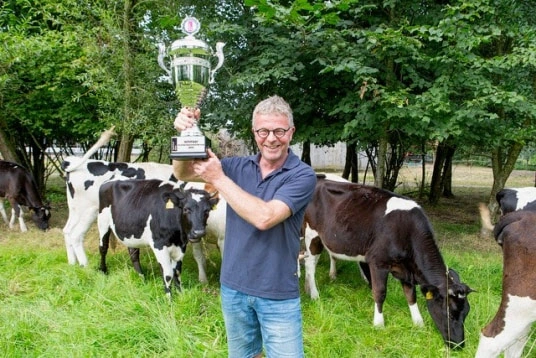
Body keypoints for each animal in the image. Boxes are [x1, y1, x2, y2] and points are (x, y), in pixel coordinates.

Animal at [62, 127, 226, 284]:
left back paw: (73, 264)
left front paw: (203, 280)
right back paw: (86, 266)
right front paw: (205, 281)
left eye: (207, 211)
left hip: (77, 211)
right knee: (77, 235)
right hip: (89, 210)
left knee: (68, 231)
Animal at [302, 175, 474, 348]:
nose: (459, 345)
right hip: (312, 235)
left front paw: (418, 322)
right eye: (450, 313)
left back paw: (308, 288)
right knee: (310, 265)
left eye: (466, 313)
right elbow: (380, 293)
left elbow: (411, 295)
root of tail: (320, 177)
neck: (407, 231)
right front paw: (379, 324)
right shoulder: (378, 262)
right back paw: (315, 295)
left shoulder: (407, 269)